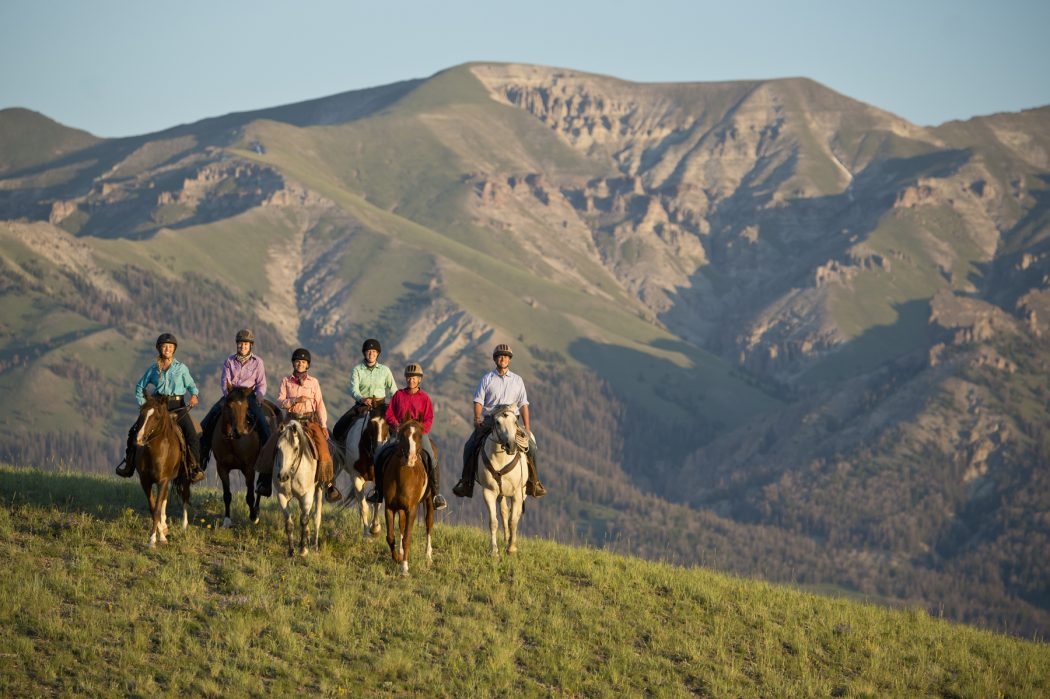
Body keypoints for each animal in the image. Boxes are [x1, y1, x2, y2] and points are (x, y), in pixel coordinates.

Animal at [133, 394, 193, 545]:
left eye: (157, 417)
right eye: (141, 413)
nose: (139, 439)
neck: (156, 452)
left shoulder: (162, 480)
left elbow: (157, 509)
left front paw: (152, 540)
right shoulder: (146, 482)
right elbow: (153, 507)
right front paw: (161, 534)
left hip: (184, 477)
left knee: (185, 497)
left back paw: (184, 525)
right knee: (164, 500)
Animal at [211, 384, 279, 524]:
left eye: (246, 407)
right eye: (229, 405)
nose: (240, 431)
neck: (232, 441)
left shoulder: (249, 468)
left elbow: (250, 496)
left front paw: (253, 517)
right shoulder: (222, 468)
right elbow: (227, 495)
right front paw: (227, 520)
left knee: (260, 486)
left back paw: (257, 510)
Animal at [273, 415, 321, 558]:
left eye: (295, 448)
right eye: (278, 448)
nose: (282, 476)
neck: (292, 472)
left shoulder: (307, 496)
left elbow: (304, 520)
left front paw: (303, 550)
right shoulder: (281, 496)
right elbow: (289, 524)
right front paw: (291, 551)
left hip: (319, 490)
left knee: (316, 517)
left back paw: (314, 545)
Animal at [380, 415, 432, 575]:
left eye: (419, 435)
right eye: (402, 435)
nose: (411, 458)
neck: (402, 476)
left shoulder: (412, 509)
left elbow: (407, 537)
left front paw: (404, 567)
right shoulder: (389, 507)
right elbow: (390, 536)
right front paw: (397, 558)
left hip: (429, 501)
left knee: (429, 524)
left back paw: (428, 556)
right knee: (401, 526)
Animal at [478, 403, 529, 554]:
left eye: (515, 421)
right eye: (497, 422)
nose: (511, 445)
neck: (501, 458)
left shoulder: (517, 493)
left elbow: (513, 521)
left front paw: (511, 549)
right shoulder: (488, 492)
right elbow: (494, 522)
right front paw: (494, 551)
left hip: (522, 493)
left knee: (515, 515)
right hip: (501, 494)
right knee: (504, 512)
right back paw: (506, 539)